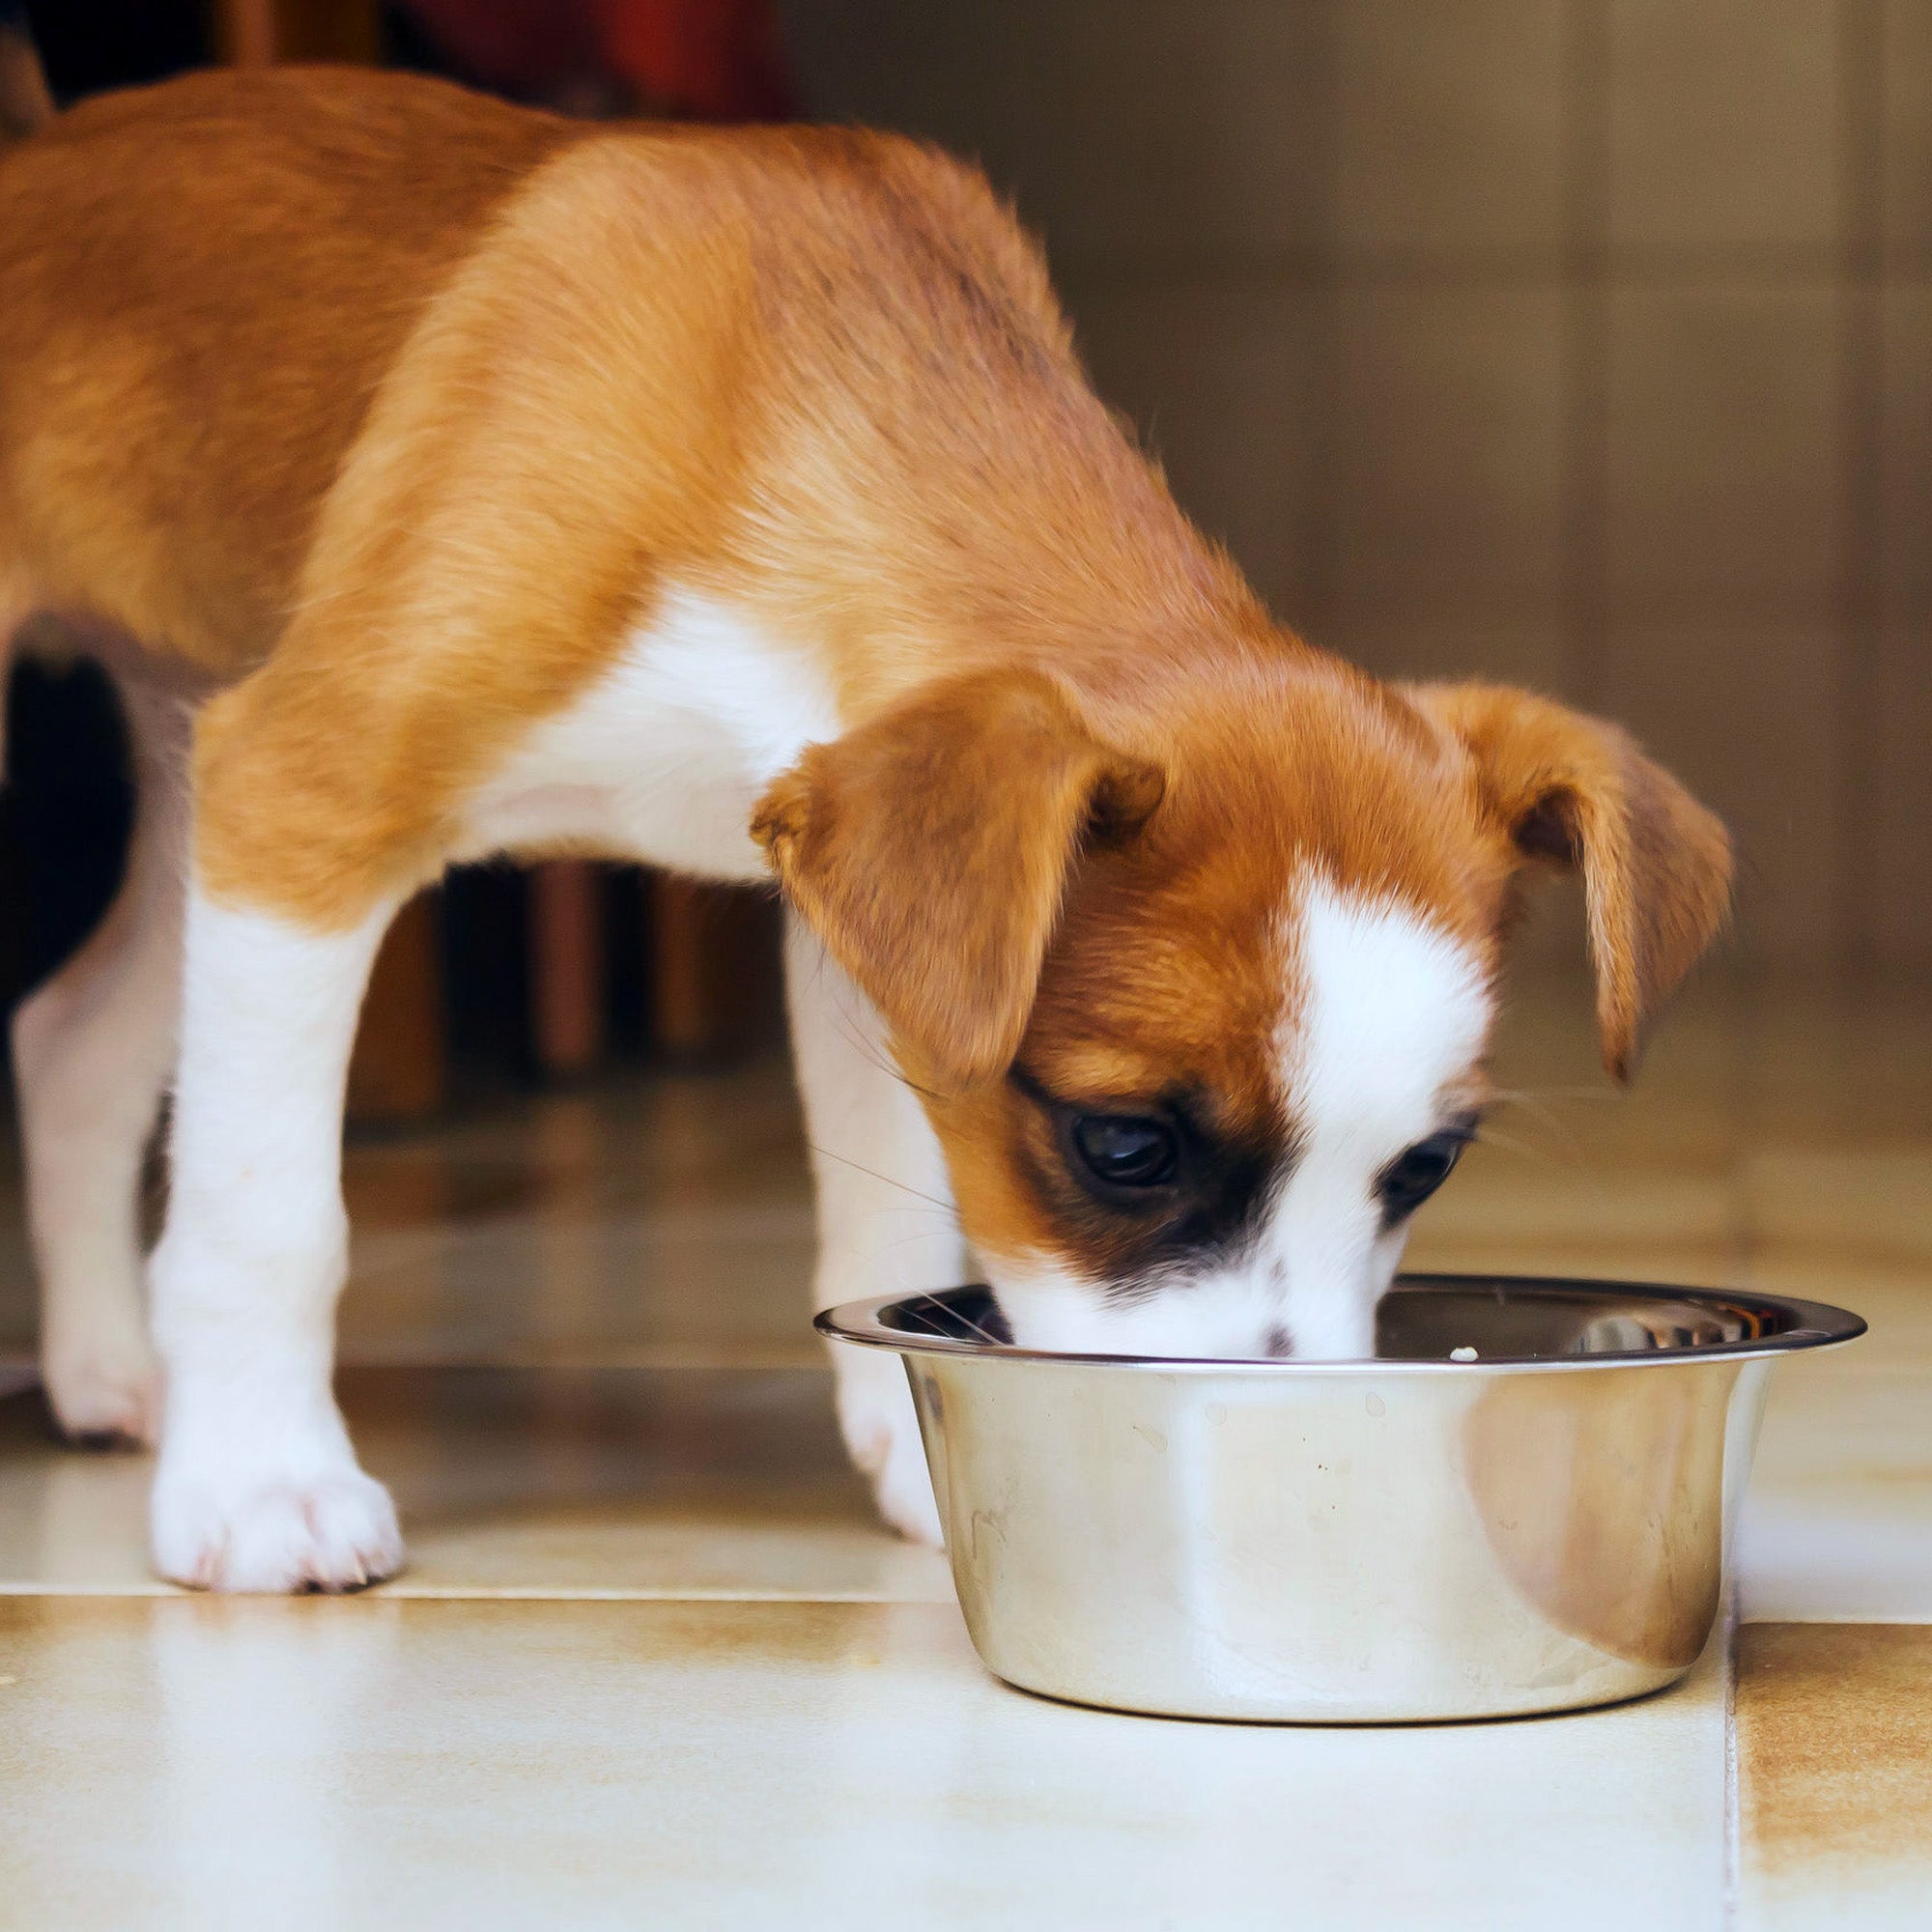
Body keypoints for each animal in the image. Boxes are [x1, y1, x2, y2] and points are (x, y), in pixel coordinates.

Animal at [0, 68, 1731, 1592]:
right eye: (1126, 1144)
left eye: (1428, 1164)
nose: (1274, 1483)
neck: (782, 422)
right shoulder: (308, 788)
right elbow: (266, 1209)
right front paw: (264, 1482)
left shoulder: (859, 925)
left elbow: (887, 1209)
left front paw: (917, 1454)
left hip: (186, 777)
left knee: (72, 1039)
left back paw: (108, 1374)